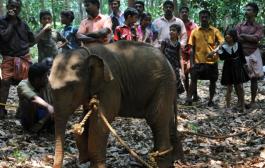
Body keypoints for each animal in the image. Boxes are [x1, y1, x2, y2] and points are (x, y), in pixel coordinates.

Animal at [49, 40, 182, 167]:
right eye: (49, 85)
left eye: (72, 87)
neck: (85, 52)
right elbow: (86, 118)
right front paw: (83, 160)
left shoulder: (111, 85)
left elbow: (100, 122)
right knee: (167, 120)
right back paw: (175, 159)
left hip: (164, 84)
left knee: (156, 118)